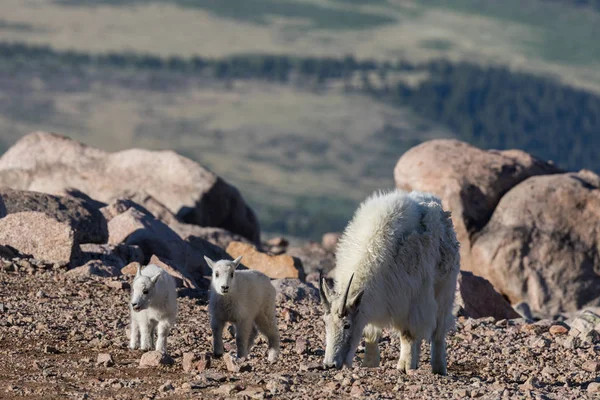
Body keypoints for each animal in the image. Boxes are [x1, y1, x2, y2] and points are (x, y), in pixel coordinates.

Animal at [318, 189, 460, 374]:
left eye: (347, 325)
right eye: (326, 324)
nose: (330, 364)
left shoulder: (411, 300)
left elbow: (408, 334)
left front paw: (404, 366)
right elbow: (370, 333)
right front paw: (370, 363)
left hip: (445, 289)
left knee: (439, 330)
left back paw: (437, 368)